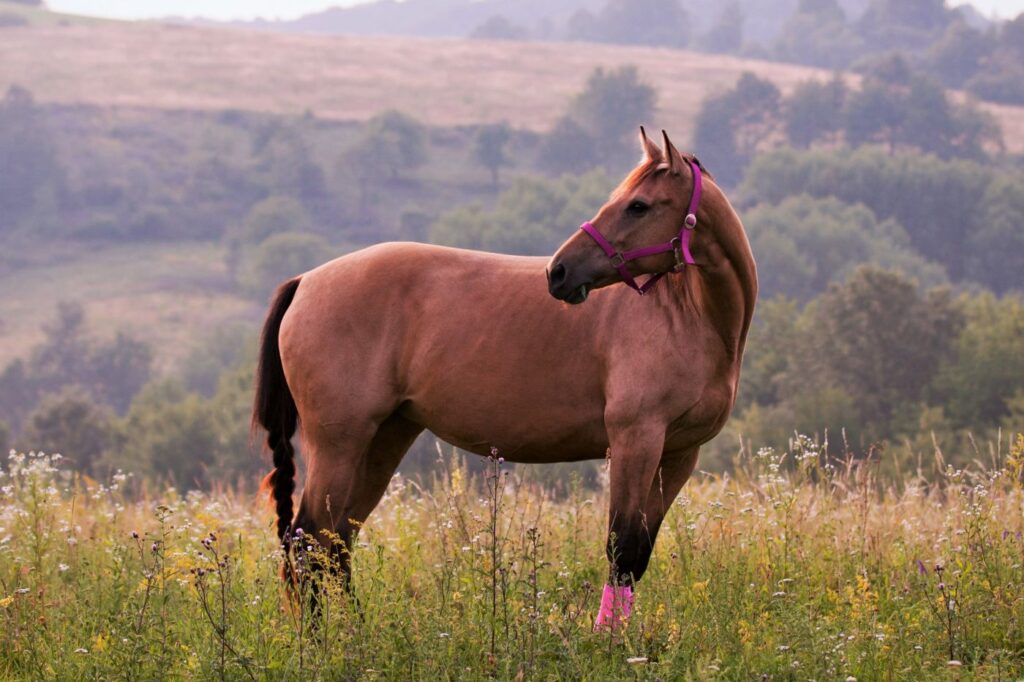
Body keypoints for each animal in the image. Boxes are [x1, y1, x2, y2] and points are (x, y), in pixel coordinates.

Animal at [251, 127, 757, 626]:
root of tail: (305, 281)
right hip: (339, 443)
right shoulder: (636, 441)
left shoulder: (678, 454)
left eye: (639, 205)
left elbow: (637, 557)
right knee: (310, 540)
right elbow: (621, 549)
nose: (558, 272)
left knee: (337, 542)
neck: (688, 315)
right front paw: (607, 640)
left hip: (384, 438)